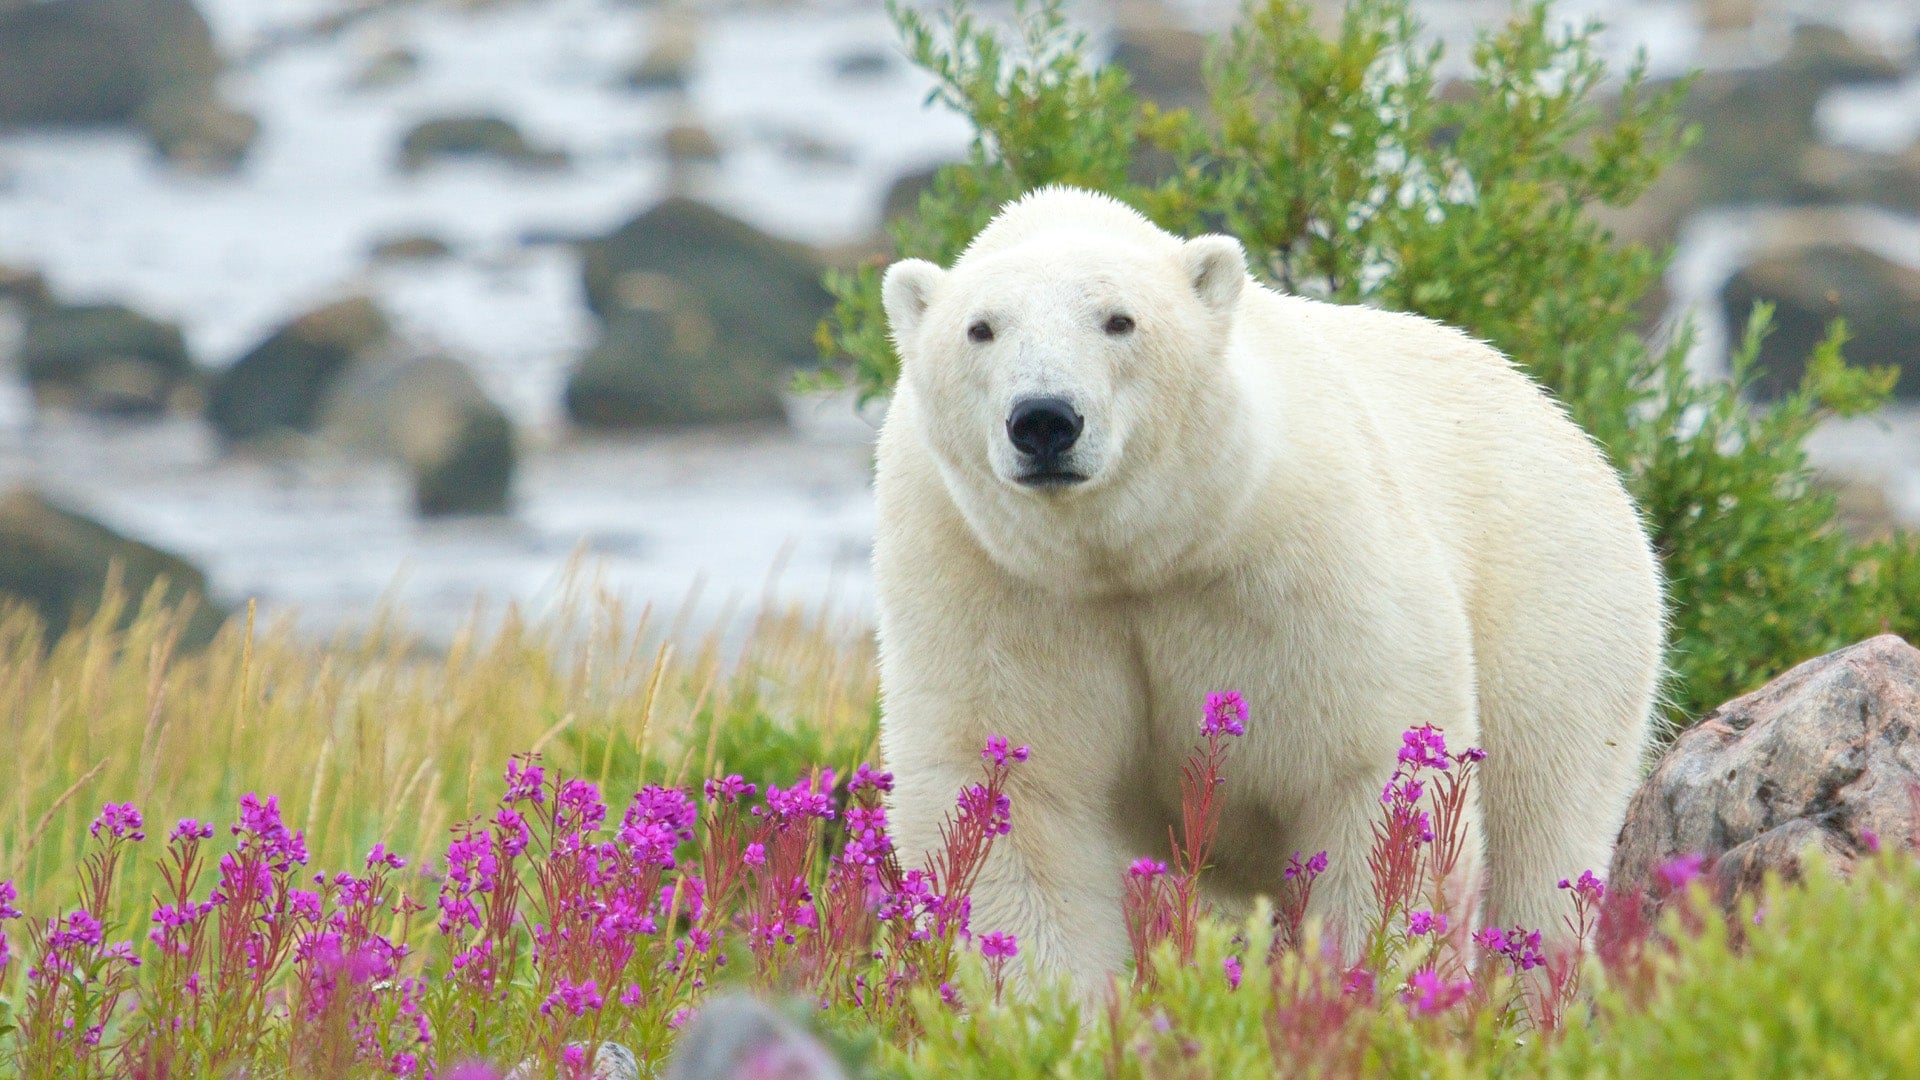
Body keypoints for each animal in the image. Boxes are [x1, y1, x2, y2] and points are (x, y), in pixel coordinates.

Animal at [872, 186, 1664, 990]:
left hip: (1555, 600)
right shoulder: (993, 583)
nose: (1044, 419)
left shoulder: (1300, 553)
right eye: (980, 329)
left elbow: (1364, 770)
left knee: (1544, 825)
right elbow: (1019, 800)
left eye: (1120, 320)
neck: (1133, 556)